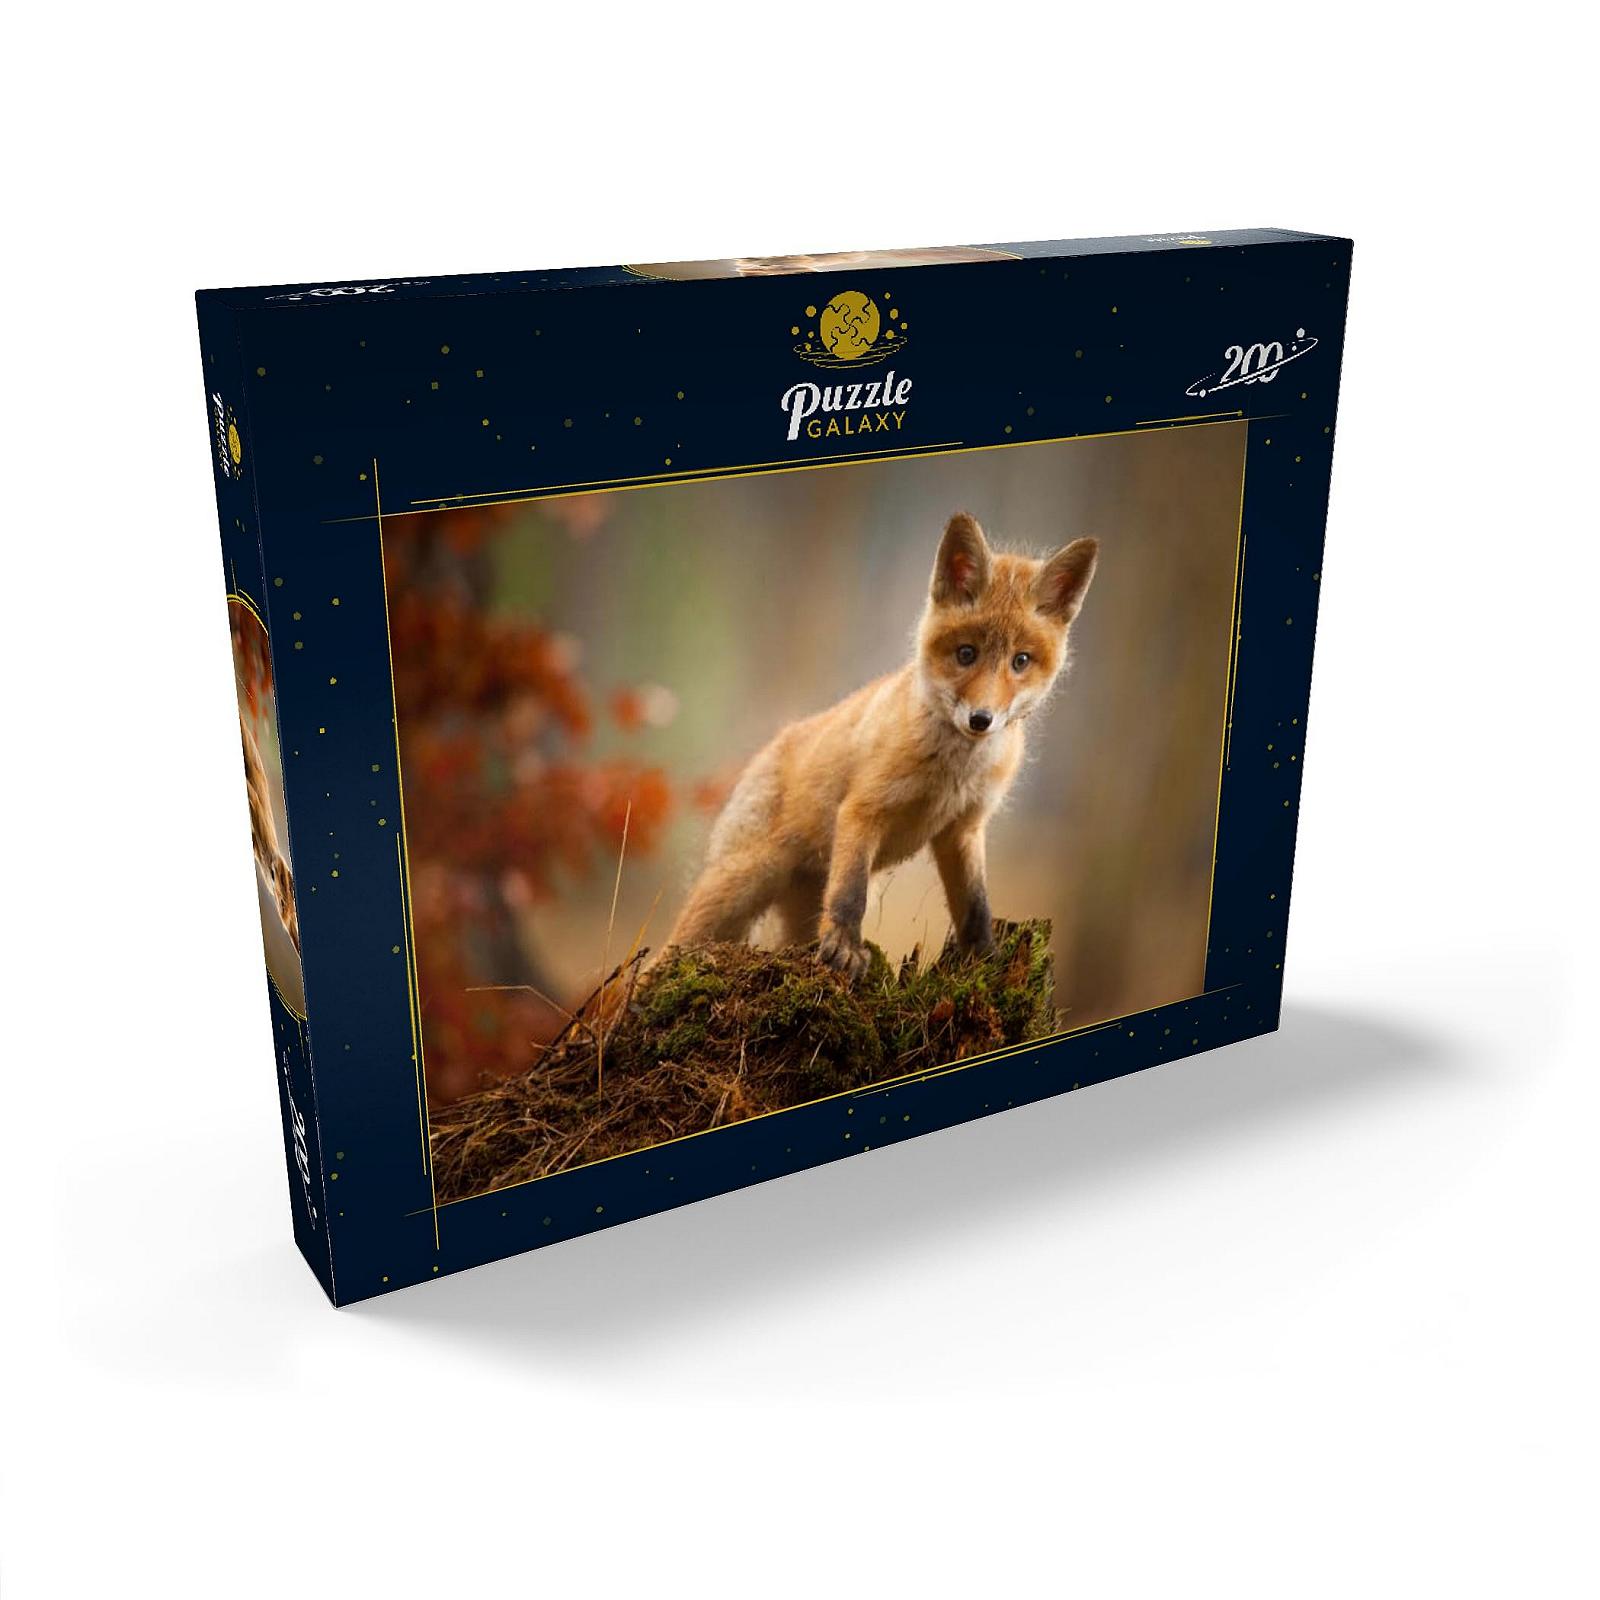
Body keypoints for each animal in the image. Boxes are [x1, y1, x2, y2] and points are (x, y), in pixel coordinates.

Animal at [664, 512, 1099, 979]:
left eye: (1020, 661)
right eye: (966, 654)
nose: (980, 720)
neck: (952, 772)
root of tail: (770, 746)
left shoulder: (963, 829)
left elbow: (975, 907)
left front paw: (984, 960)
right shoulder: (863, 810)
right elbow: (851, 894)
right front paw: (844, 948)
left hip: (796, 906)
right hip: (742, 883)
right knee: (666, 952)